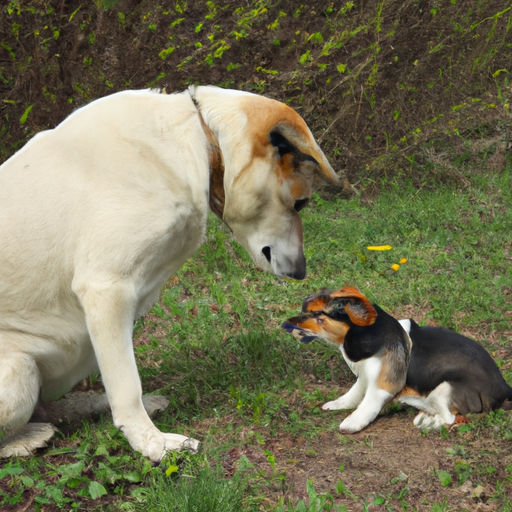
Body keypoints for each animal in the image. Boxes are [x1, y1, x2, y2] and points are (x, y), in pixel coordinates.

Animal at [0, 86, 340, 462]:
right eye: (300, 203)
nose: (301, 272)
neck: (197, 139)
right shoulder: (107, 289)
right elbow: (126, 386)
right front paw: (153, 443)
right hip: (18, 373)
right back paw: (28, 437)